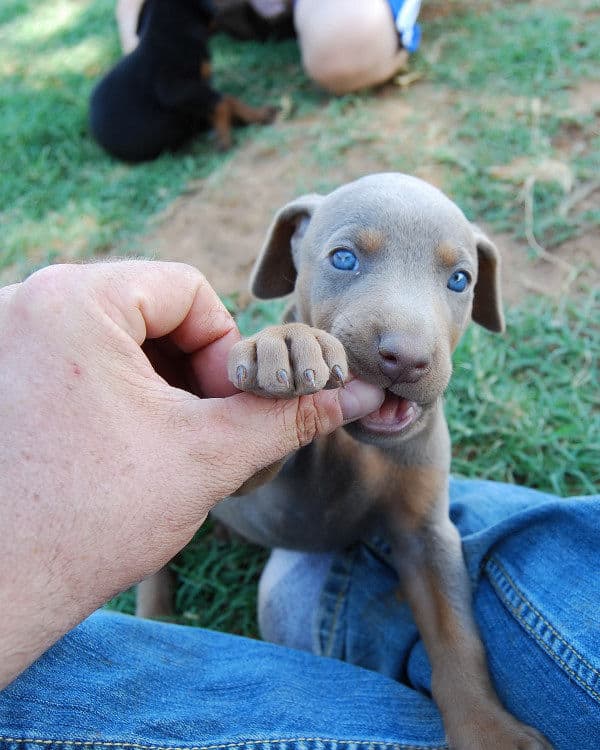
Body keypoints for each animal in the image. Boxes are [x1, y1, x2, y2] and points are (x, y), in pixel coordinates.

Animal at [90, 0, 278, 164]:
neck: (171, 32)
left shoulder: (200, 89)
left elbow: (227, 100)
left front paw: (257, 114)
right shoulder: (176, 90)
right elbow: (223, 101)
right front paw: (225, 138)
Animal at [138, 173, 552, 748]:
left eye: (460, 279)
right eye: (343, 258)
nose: (405, 358)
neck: (361, 445)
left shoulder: (426, 533)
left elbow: (457, 633)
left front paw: (489, 730)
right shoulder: (247, 468)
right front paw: (288, 342)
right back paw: (159, 615)